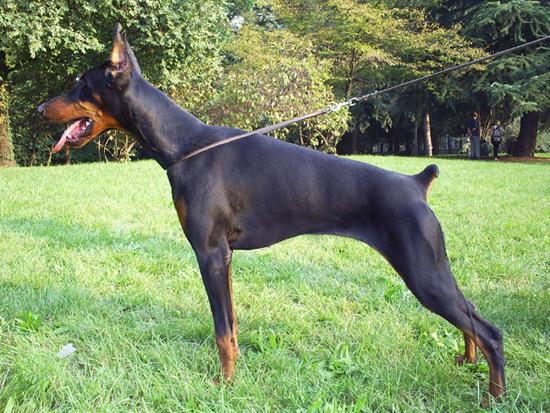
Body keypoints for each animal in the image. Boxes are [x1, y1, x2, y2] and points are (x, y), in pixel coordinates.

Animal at [38, 24, 505, 405]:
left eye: (80, 84)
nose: (41, 108)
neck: (185, 146)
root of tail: (417, 182)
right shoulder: (225, 257)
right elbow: (231, 325)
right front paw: (235, 375)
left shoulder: (210, 253)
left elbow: (220, 329)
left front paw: (223, 385)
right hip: (432, 268)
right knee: (470, 314)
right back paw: (467, 361)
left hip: (422, 271)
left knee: (490, 331)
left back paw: (493, 397)